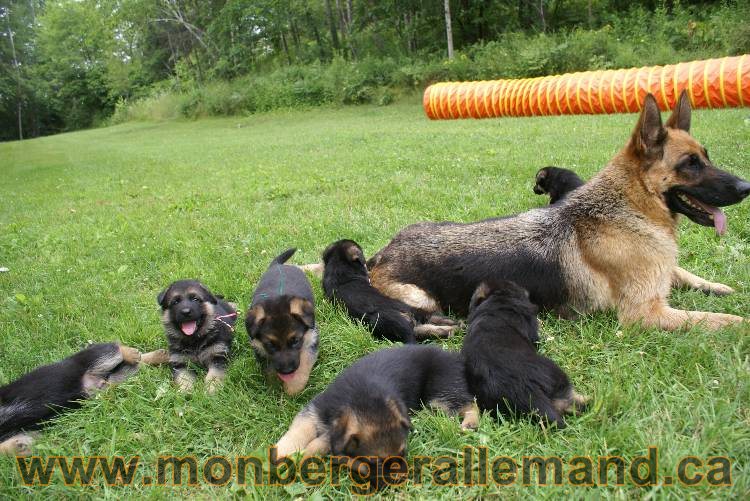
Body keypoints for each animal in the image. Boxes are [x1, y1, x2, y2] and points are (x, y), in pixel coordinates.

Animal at [245, 246, 318, 394]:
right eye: (270, 345)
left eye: (295, 341)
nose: (287, 371)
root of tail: (277, 265)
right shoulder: (260, 348)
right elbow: (270, 369)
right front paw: (274, 387)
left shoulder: (311, 339)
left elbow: (304, 362)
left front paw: (293, 388)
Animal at [368, 92, 750, 330]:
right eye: (690, 164)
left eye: (706, 157)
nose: (746, 187)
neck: (630, 209)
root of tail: (381, 255)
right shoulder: (645, 313)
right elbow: (720, 320)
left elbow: (682, 272)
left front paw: (716, 285)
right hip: (420, 300)